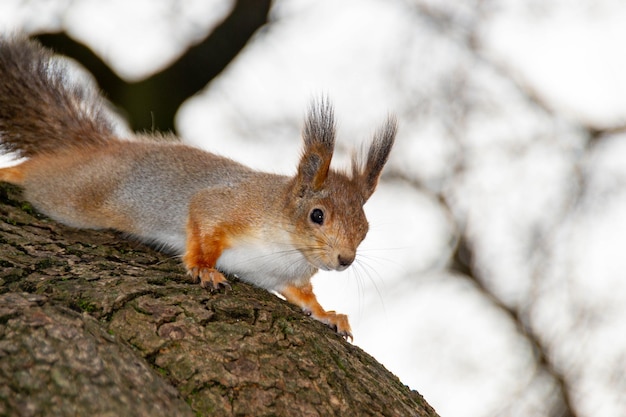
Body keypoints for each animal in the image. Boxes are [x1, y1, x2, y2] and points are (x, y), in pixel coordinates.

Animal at [0, 37, 394, 340]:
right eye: (317, 216)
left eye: (366, 228)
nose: (345, 260)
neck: (288, 250)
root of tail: (99, 148)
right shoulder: (228, 204)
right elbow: (202, 223)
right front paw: (204, 268)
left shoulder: (288, 278)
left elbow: (304, 298)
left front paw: (328, 314)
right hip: (72, 192)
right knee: (38, 173)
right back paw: (10, 173)